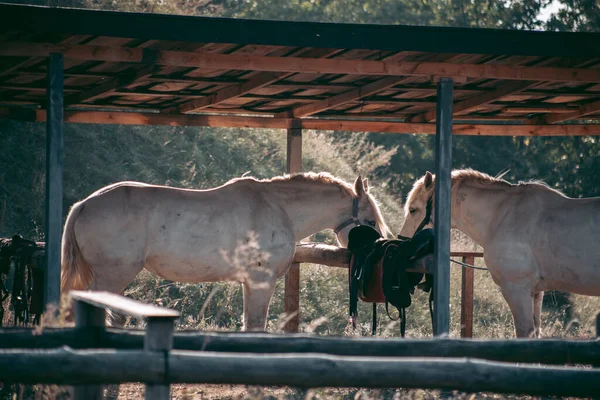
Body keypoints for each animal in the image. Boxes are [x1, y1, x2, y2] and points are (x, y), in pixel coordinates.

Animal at [61, 172, 390, 332]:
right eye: (371, 221)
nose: (378, 252)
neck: (279, 208)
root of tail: (84, 204)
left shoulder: (249, 283)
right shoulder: (261, 281)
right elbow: (255, 324)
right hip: (112, 276)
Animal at [398, 169, 600, 338]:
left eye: (413, 210)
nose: (402, 242)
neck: (501, 216)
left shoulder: (517, 289)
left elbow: (524, 332)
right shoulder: (536, 292)